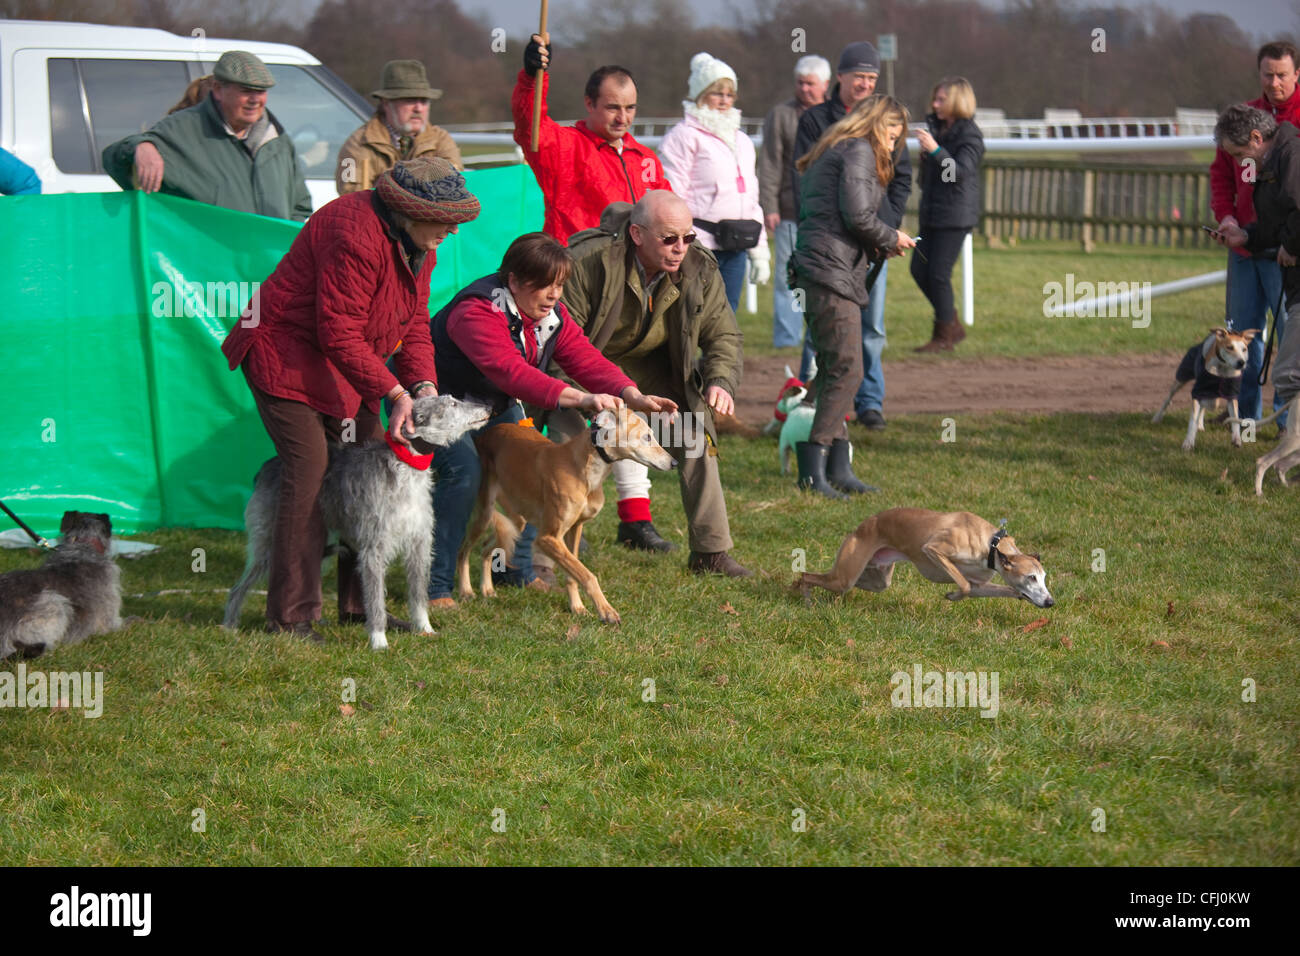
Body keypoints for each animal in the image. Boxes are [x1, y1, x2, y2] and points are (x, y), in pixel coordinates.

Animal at [220, 392, 488, 655]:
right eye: (452, 403)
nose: (488, 406)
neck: (405, 466)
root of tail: (266, 467)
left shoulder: (419, 544)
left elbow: (418, 594)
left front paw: (425, 629)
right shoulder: (373, 549)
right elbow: (375, 600)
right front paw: (379, 641)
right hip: (269, 543)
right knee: (239, 587)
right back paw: (233, 626)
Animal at [790, 509, 1055, 606]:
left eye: (1042, 577)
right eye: (1031, 577)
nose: (1051, 602)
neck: (992, 544)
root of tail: (862, 526)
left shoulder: (982, 585)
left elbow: (984, 587)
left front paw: (1023, 596)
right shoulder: (933, 549)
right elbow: (964, 585)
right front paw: (952, 595)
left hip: (875, 579)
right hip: (845, 577)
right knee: (806, 574)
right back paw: (804, 597)